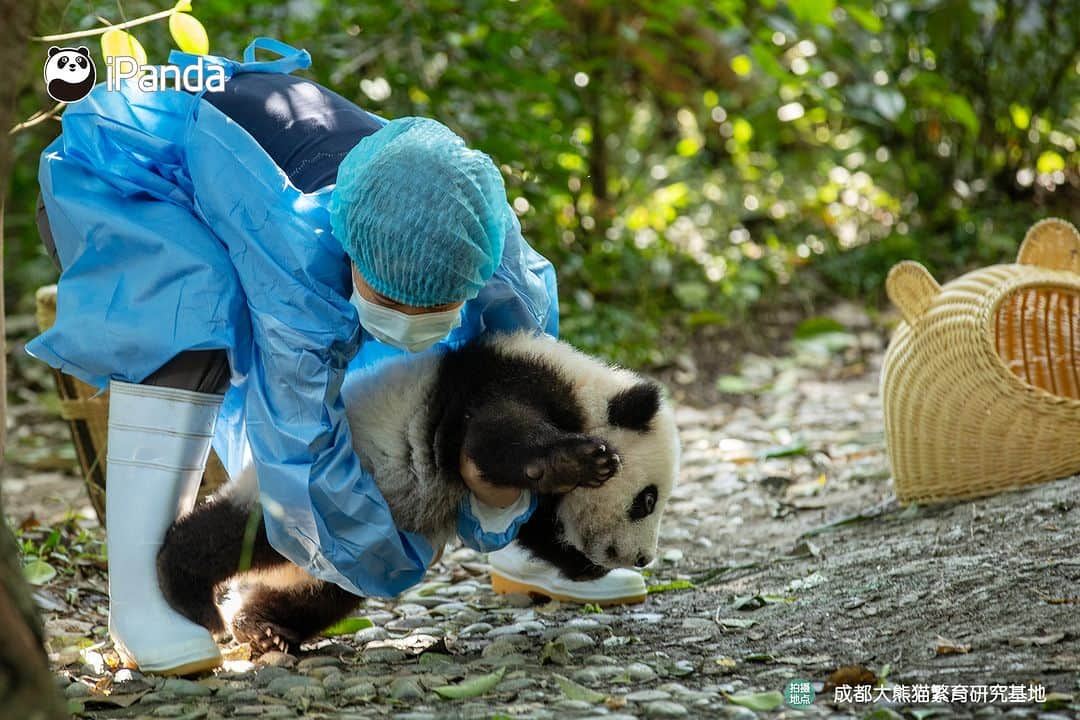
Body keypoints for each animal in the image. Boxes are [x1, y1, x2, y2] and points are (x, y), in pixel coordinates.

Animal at [156, 332, 678, 651]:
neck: (583, 390)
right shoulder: (504, 380)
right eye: (647, 500)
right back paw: (188, 590)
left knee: (316, 594)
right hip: (308, 502)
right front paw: (579, 461)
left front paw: (581, 562)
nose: (643, 559)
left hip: (348, 552)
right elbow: (490, 442)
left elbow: (537, 528)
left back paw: (263, 627)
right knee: (235, 536)